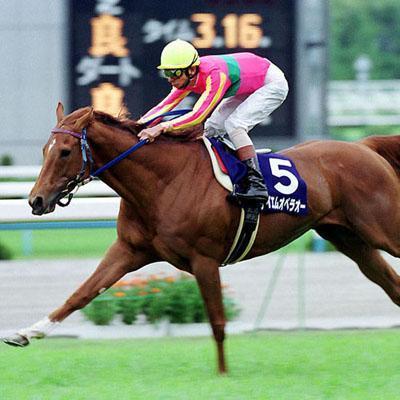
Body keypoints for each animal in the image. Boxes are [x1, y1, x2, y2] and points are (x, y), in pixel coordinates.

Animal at [3, 104, 400, 376]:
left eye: (65, 152)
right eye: (44, 150)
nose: (36, 200)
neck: (164, 181)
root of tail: (365, 145)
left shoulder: (204, 259)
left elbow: (218, 321)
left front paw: (223, 374)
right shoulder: (129, 251)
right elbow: (80, 294)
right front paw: (25, 333)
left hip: (382, 228)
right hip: (351, 240)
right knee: (391, 285)